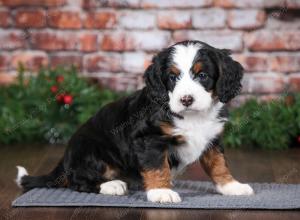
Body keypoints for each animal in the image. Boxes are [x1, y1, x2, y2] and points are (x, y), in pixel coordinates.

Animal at [16, 40, 254, 203]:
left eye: (203, 75)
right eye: (172, 77)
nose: (186, 99)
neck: (193, 116)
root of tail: (65, 159)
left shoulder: (212, 138)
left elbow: (219, 164)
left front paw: (231, 186)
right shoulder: (149, 138)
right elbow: (157, 166)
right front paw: (161, 191)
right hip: (91, 150)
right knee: (78, 181)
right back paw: (112, 185)